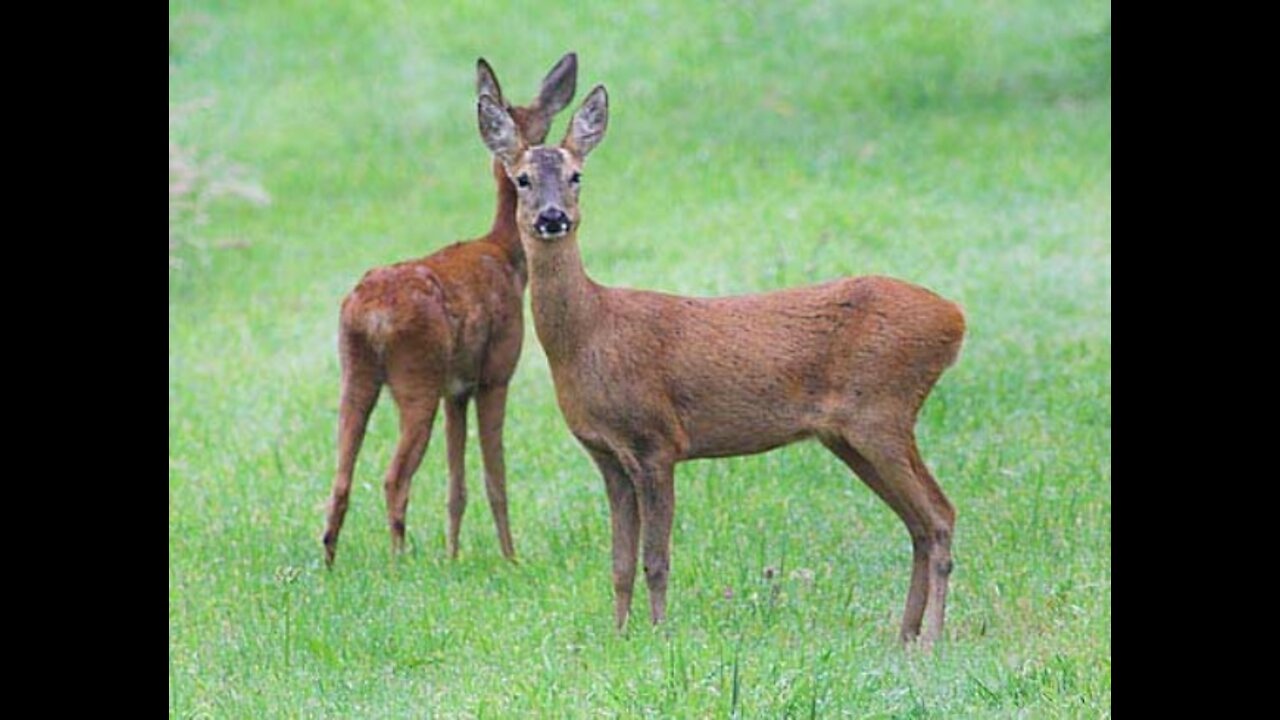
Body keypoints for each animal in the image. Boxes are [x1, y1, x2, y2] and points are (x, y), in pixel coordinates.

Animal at [322, 53, 578, 563]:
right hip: (415, 374)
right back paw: (399, 560)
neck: (505, 254)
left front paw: (453, 554)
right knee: (393, 477)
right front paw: (509, 556)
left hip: (356, 371)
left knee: (340, 479)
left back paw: (329, 564)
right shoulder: (495, 372)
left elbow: (456, 482)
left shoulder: (455, 389)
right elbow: (494, 477)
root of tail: (370, 314)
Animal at [476, 85, 962, 645]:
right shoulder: (606, 453)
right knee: (919, 523)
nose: (553, 217)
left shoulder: (657, 440)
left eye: (577, 174)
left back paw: (931, 638)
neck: (591, 334)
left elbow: (655, 559)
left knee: (940, 514)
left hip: (882, 410)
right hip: (850, 434)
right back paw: (905, 634)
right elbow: (619, 563)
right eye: (523, 178)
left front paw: (659, 634)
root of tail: (955, 318)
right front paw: (620, 634)